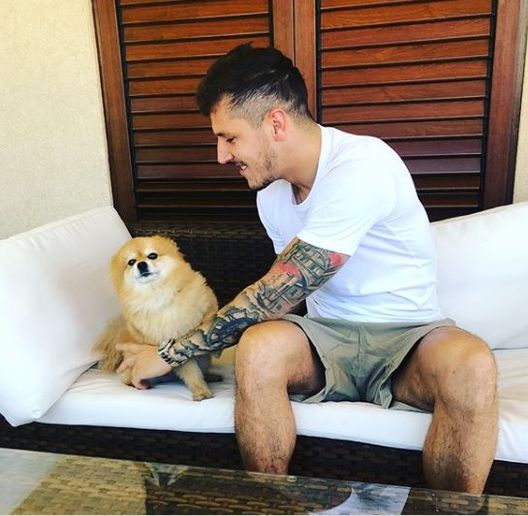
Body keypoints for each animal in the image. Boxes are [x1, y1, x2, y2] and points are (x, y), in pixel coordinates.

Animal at [93, 235, 218, 400]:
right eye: (131, 262)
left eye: (152, 255)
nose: (141, 264)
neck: (158, 294)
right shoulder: (172, 344)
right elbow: (190, 369)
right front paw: (200, 390)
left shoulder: (204, 299)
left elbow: (209, 315)